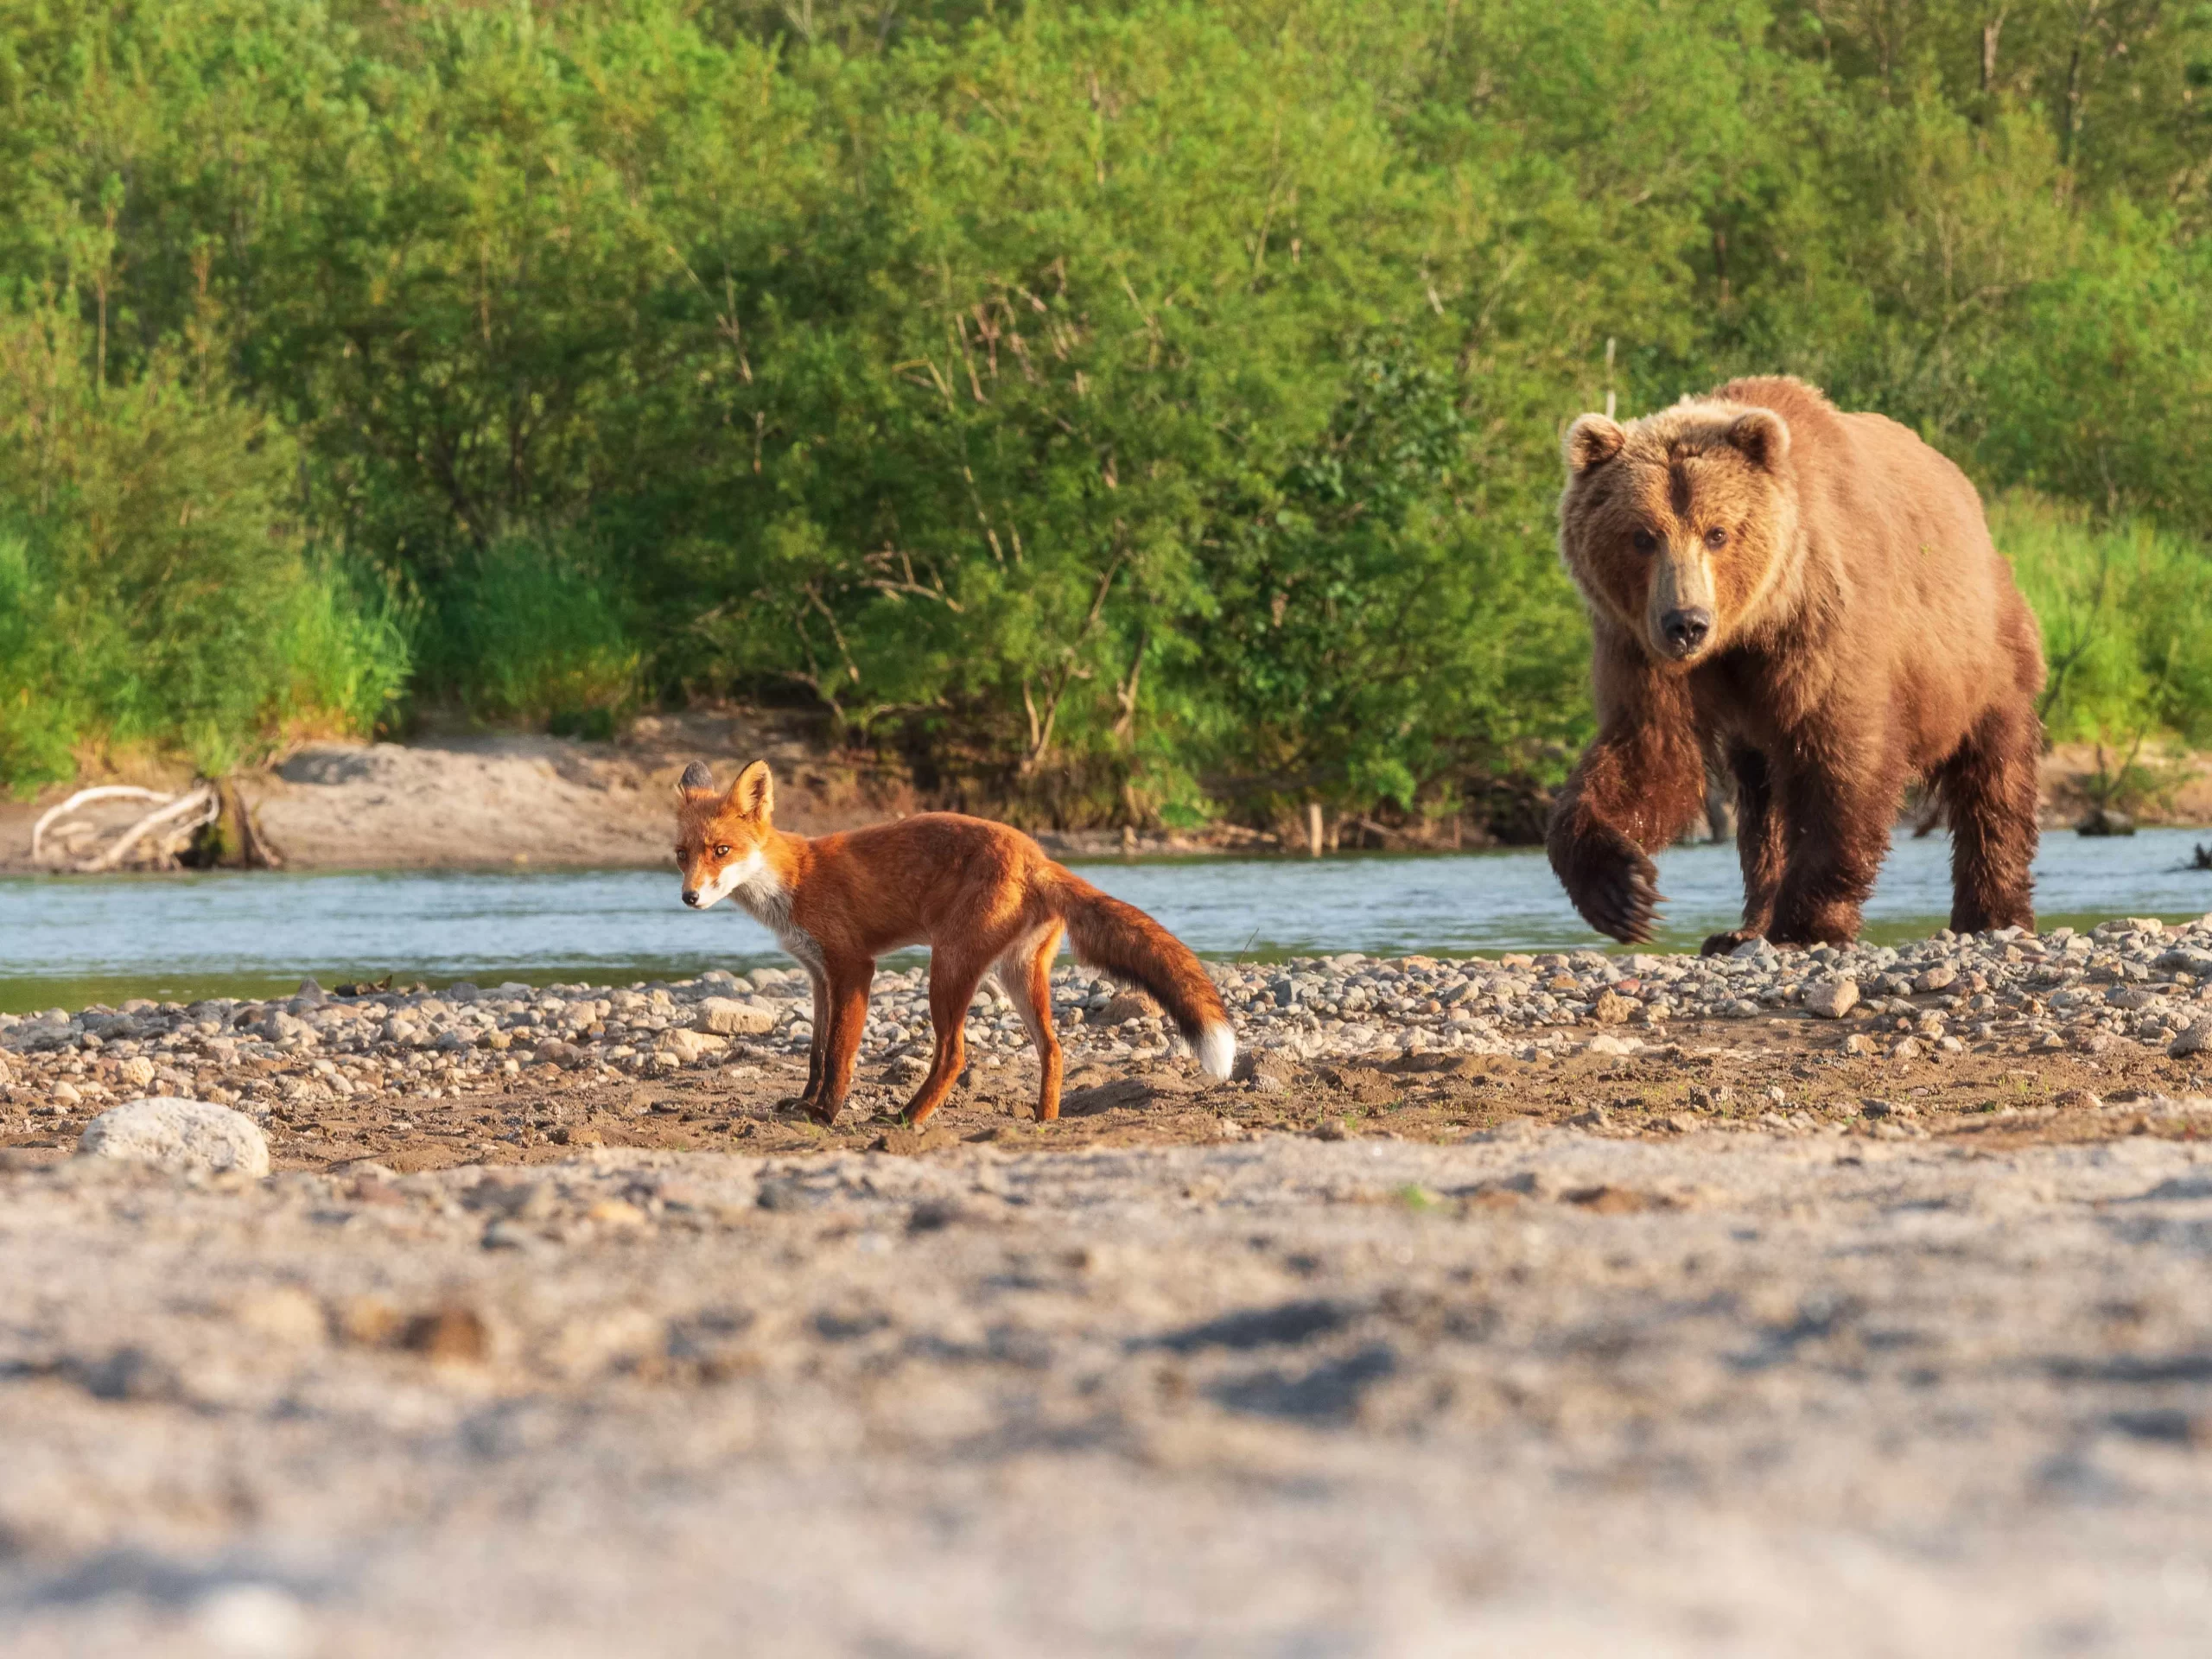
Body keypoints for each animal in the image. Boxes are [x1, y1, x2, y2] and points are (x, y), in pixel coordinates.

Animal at [664, 765, 1238, 1132]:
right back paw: (1045, 1120)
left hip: (948, 967)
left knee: (954, 1054)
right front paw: (804, 1104)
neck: (794, 881)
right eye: (681, 854)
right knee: (1052, 1048)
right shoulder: (817, 974)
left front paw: (824, 1116)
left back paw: (906, 1119)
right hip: (1016, 974)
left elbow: (841, 1055)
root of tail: (1038, 855)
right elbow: (816, 1053)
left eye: (722, 850)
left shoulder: (854, 967)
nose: (689, 898)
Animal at [1548, 376, 2044, 946]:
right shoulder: (1642, 648)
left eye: (1718, 532)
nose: (1686, 623)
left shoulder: (1824, 626)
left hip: (1978, 655)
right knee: (1762, 807)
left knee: (1994, 778)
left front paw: (1806, 922)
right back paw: (1742, 929)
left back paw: (1992, 914)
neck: (1746, 629)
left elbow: (1842, 760)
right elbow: (1650, 751)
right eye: (1641, 535)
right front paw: (1623, 890)